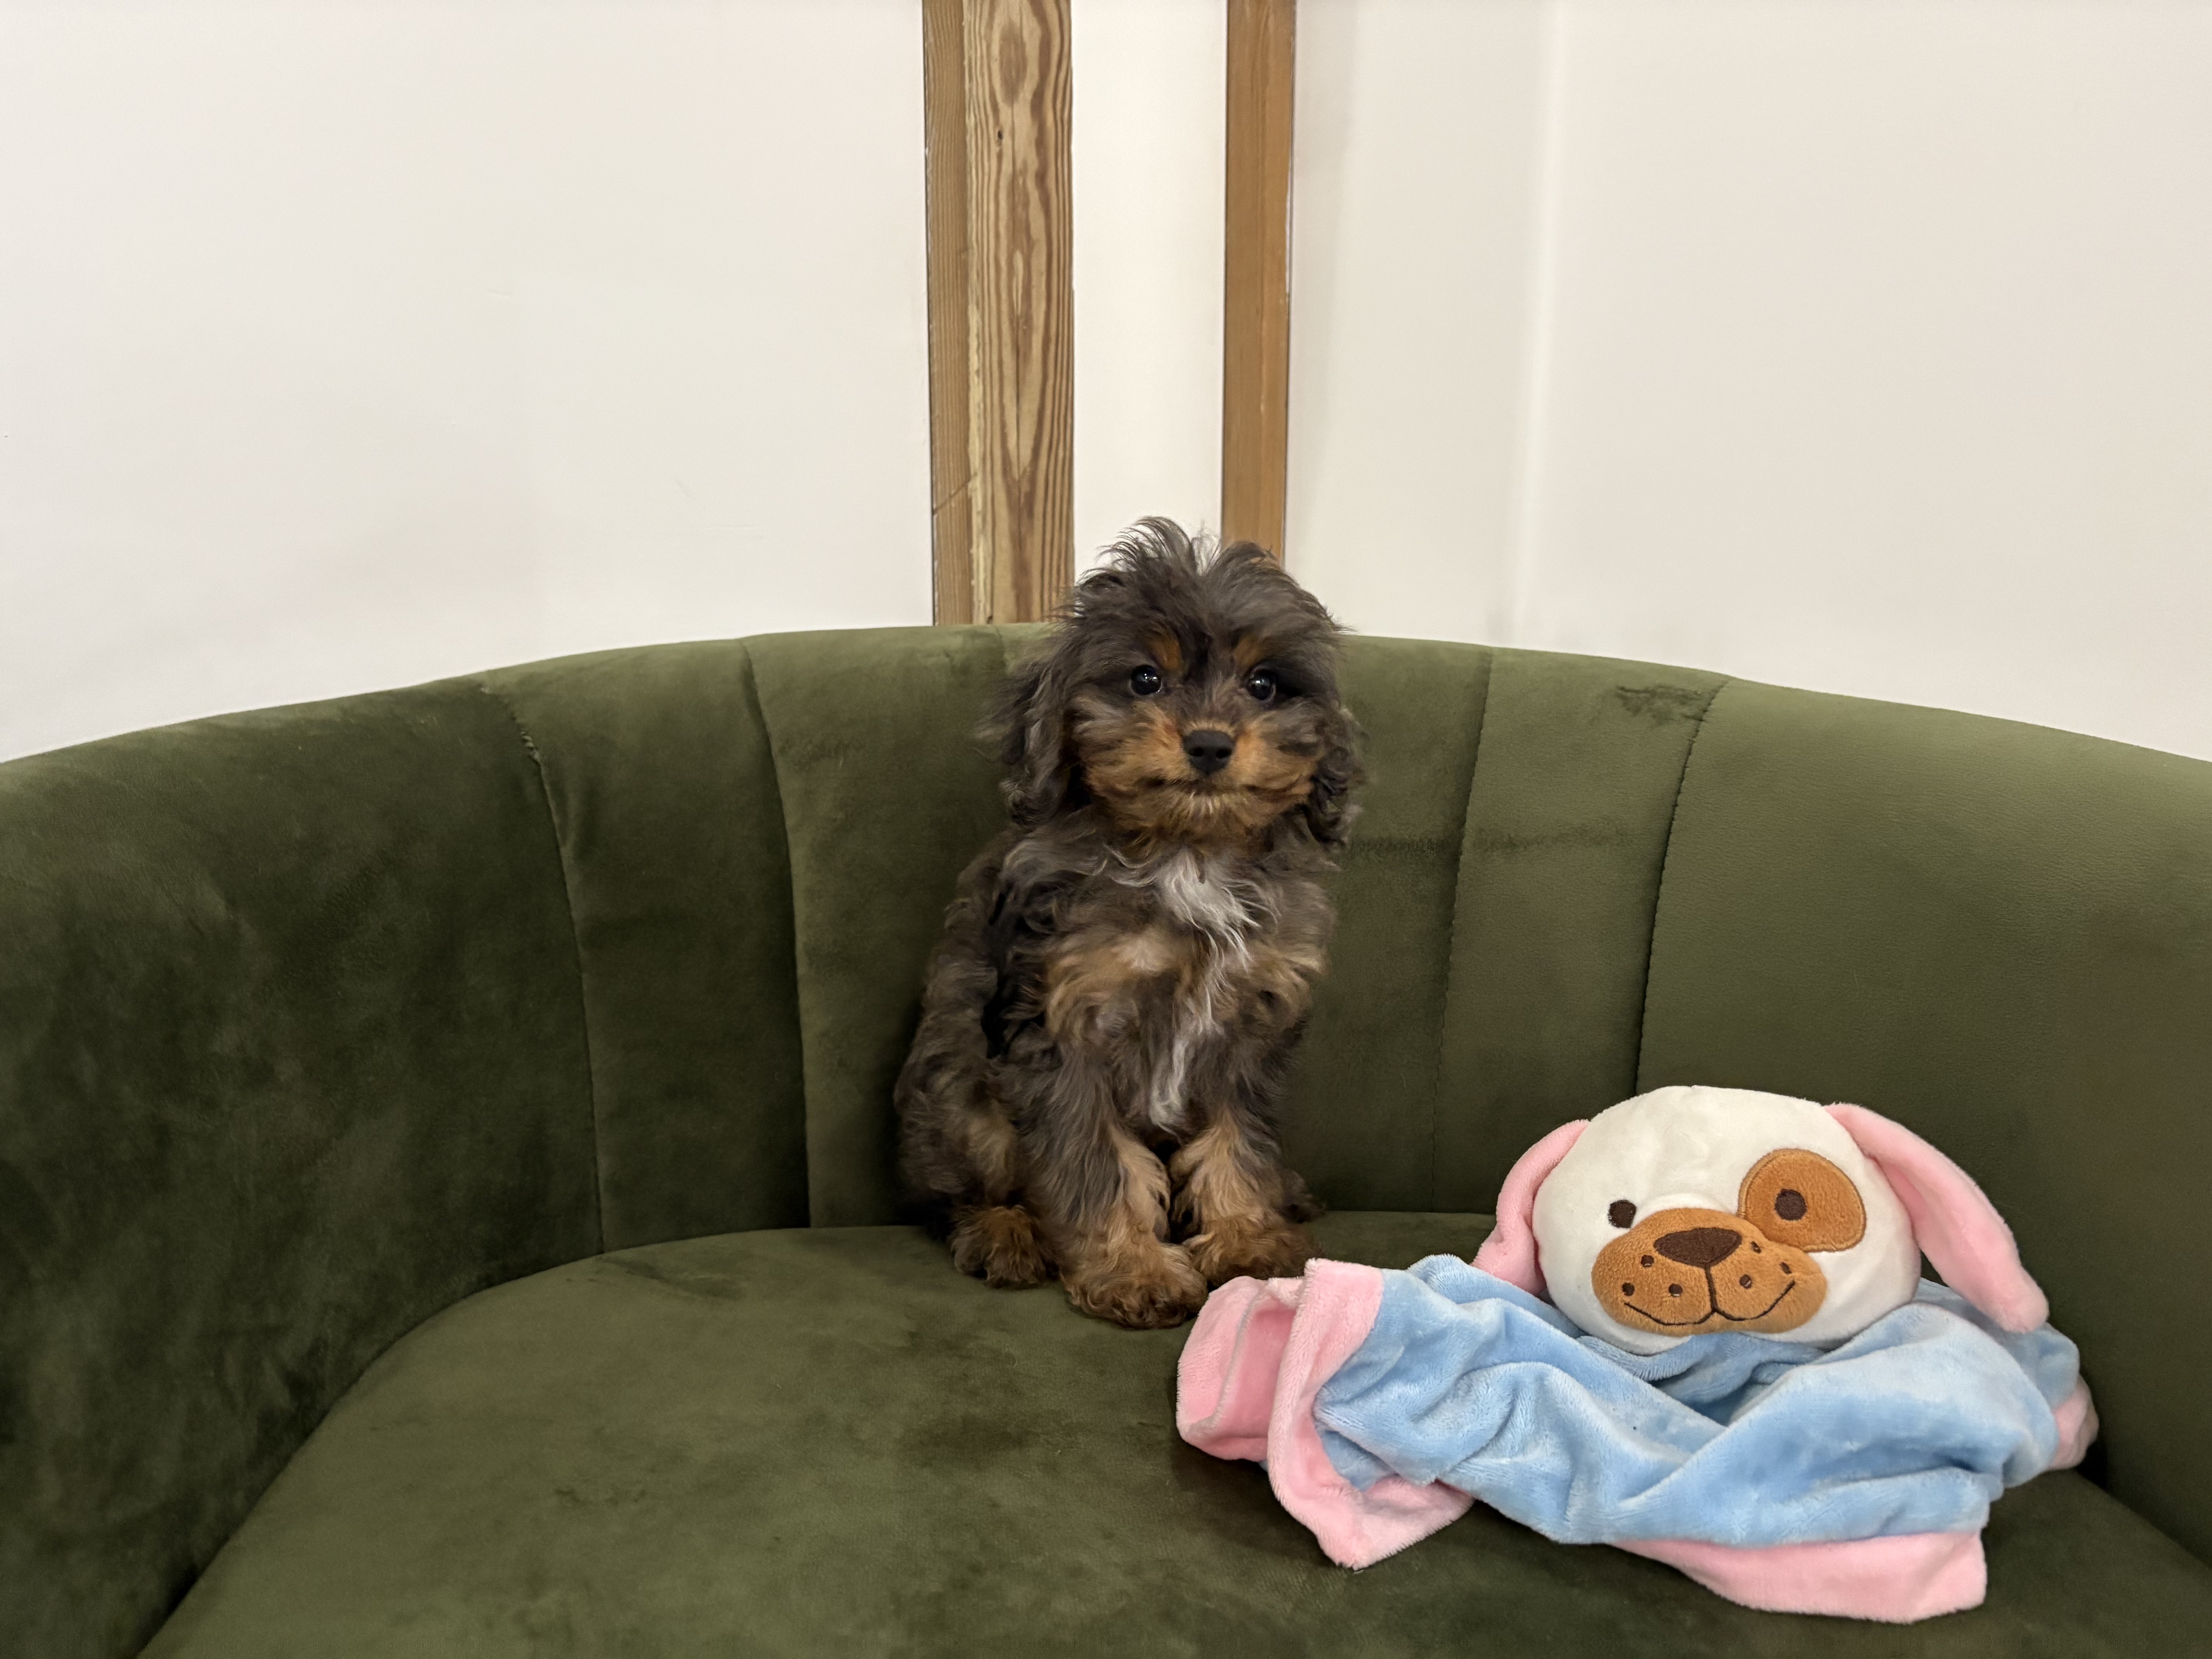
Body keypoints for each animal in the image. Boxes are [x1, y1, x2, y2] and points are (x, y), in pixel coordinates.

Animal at [895, 520, 1360, 1328]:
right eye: (1145, 679)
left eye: (1264, 685)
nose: (1209, 743)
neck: (1186, 850)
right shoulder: (1061, 1026)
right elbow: (1099, 1161)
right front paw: (1130, 1267)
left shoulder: (1252, 1024)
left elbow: (1239, 1138)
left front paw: (1246, 1234)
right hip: (958, 1097)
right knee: (960, 1188)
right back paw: (1004, 1231)